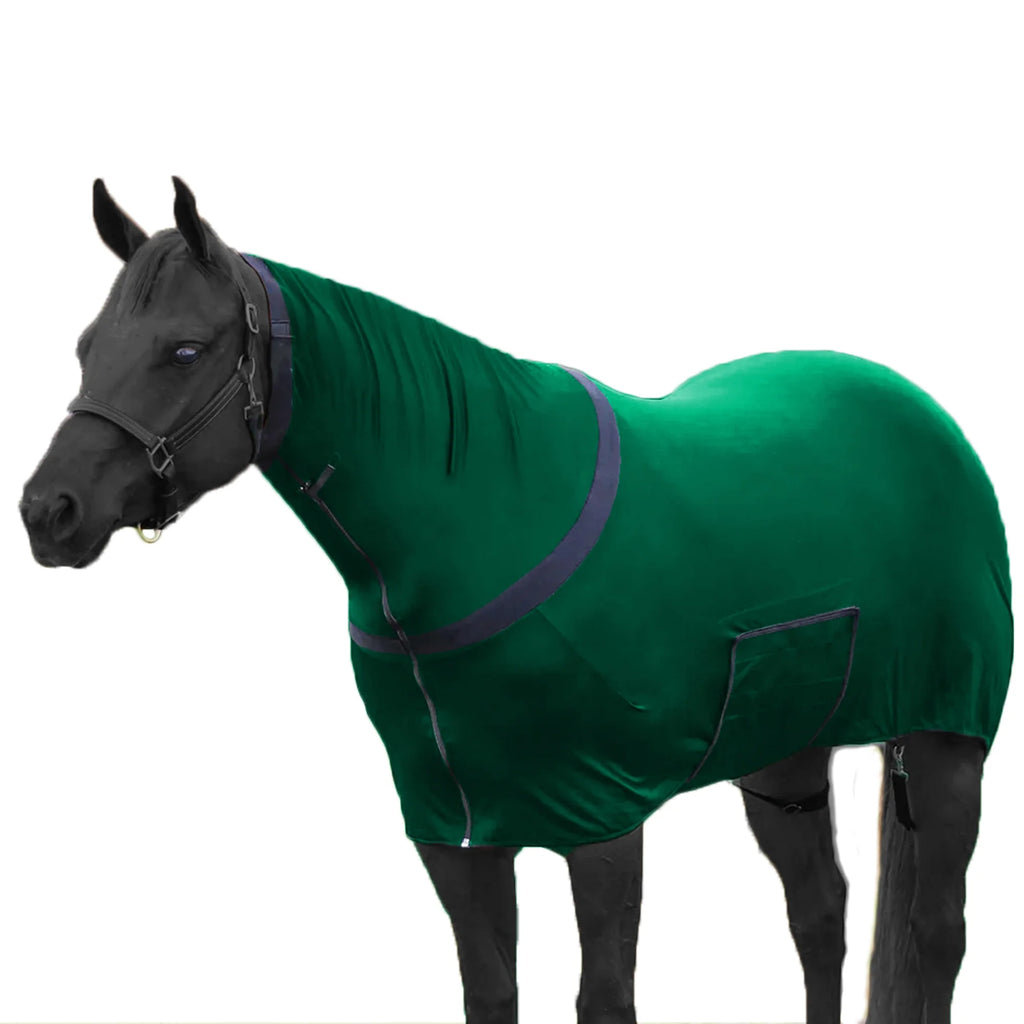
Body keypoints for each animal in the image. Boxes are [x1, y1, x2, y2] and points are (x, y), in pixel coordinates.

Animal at [20, 177, 1013, 1024]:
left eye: (184, 349)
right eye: (86, 347)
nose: (47, 512)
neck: (479, 525)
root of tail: (922, 412)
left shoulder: (599, 817)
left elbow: (603, 998)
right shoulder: (455, 832)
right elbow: (491, 992)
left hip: (945, 742)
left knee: (936, 934)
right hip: (785, 754)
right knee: (821, 913)